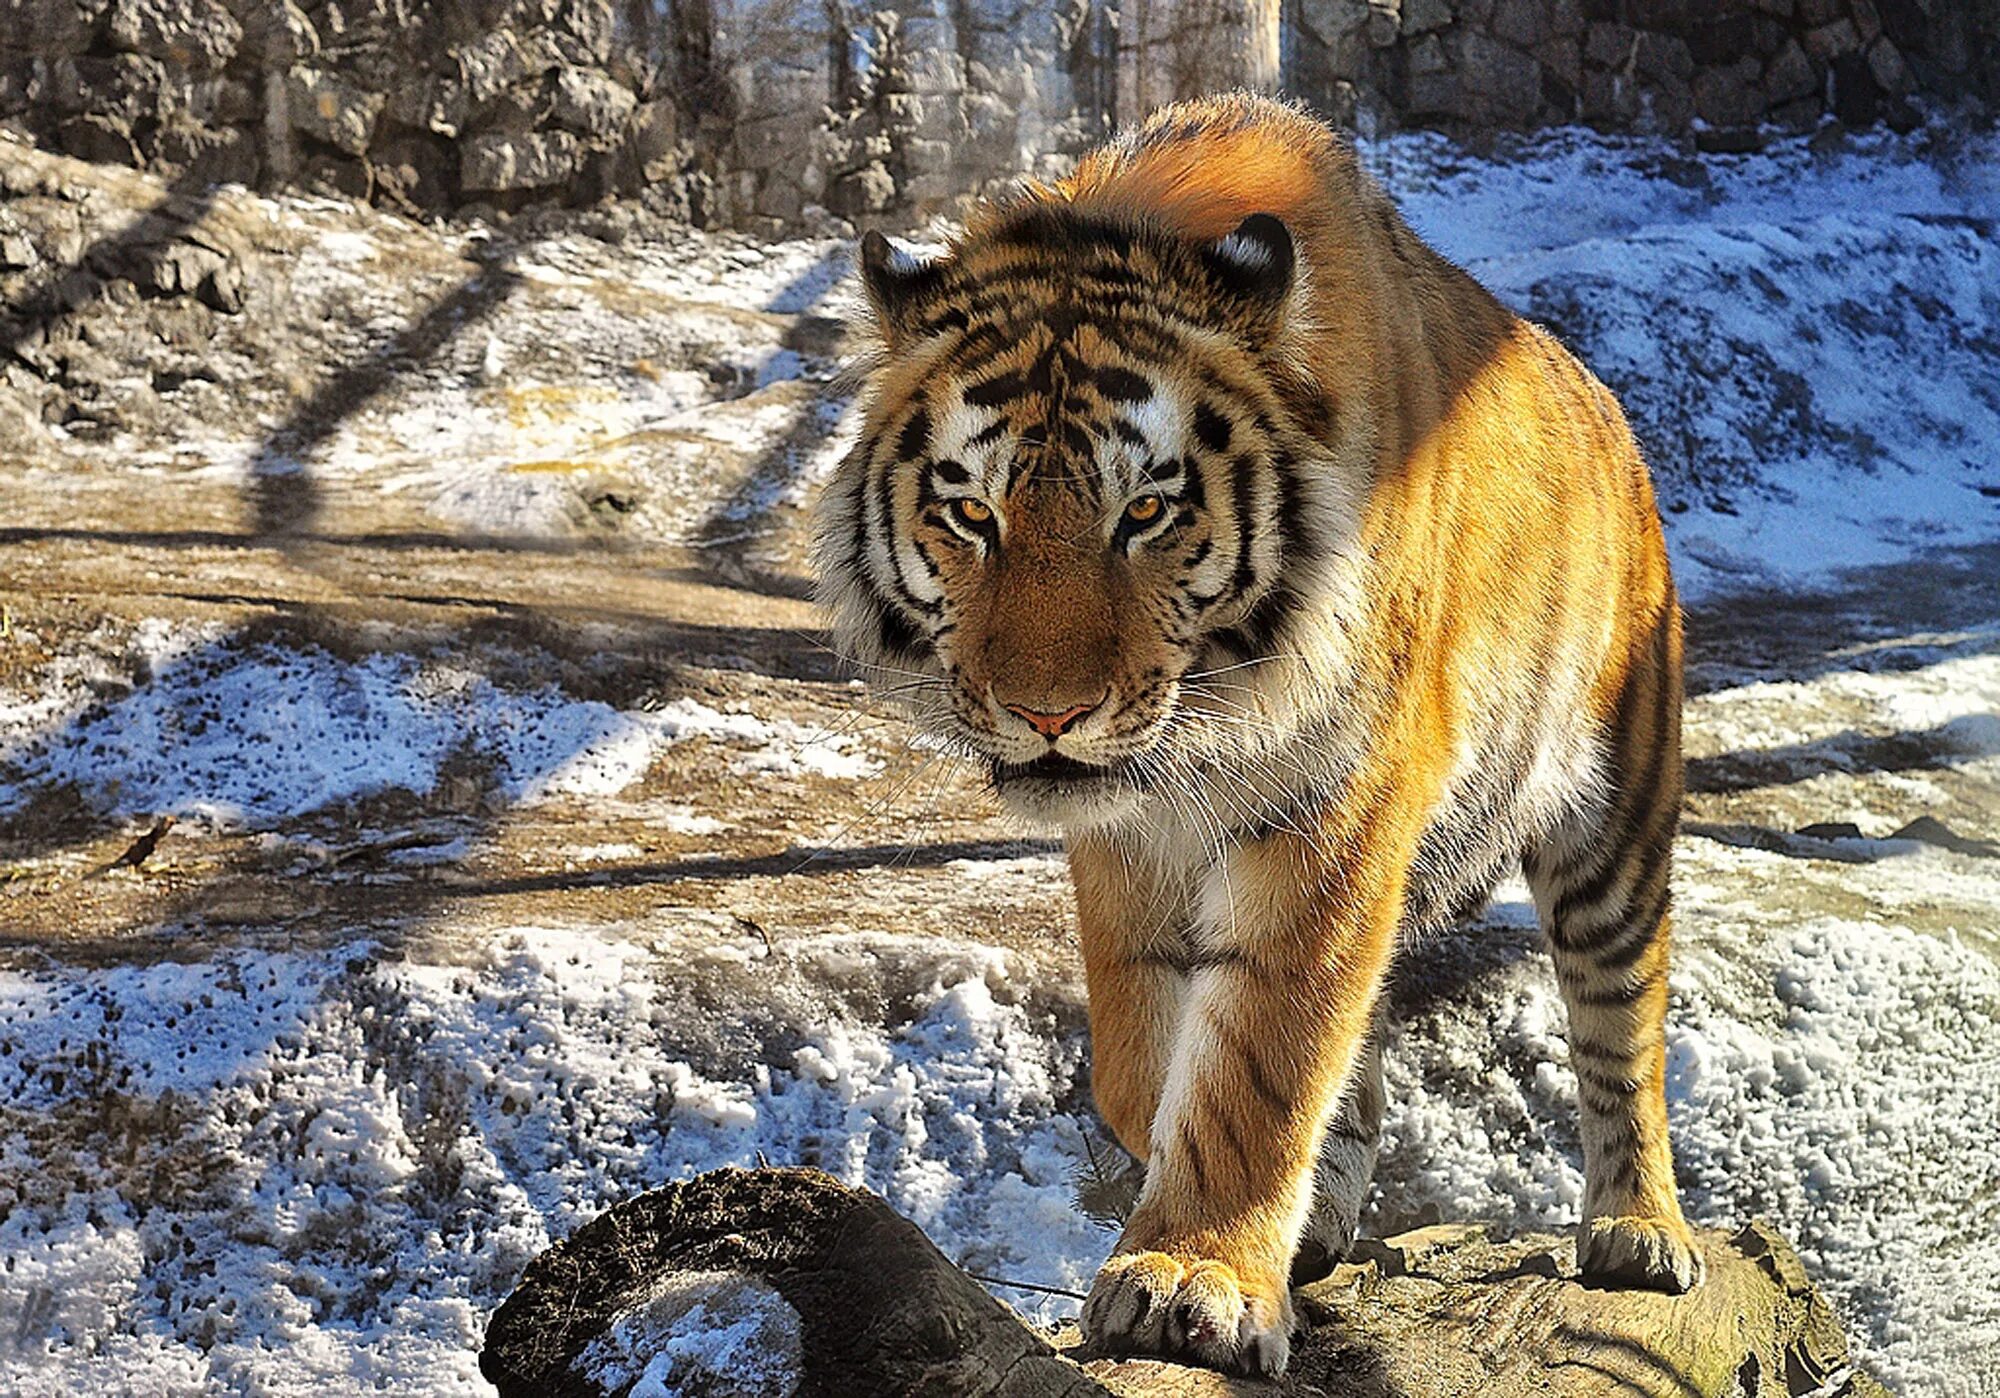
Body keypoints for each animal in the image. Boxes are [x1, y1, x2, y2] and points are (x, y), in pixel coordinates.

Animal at [812, 90, 1704, 1376]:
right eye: (970, 512)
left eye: (1145, 510)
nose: (1045, 714)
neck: (1200, 732)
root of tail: (1606, 402)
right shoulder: (1125, 836)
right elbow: (1146, 1052)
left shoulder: (1333, 809)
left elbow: (1261, 1056)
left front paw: (1193, 1275)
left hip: (1615, 817)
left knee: (1620, 1024)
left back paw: (1638, 1230)